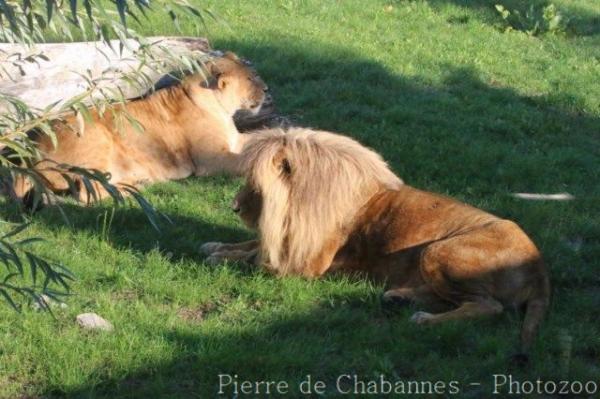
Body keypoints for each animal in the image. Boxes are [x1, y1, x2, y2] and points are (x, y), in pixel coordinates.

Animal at [8, 51, 268, 205]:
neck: (222, 109)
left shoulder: (236, 140)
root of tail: (31, 155)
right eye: (251, 79)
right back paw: (133, 189)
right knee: (85, 192)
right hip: (97, 139)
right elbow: (244, 160)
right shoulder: (211, 160)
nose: (266, 89)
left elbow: (263, 136)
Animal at [204, 129, 552, 362]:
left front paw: (219, 257)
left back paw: (423, 318)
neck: (297, 202)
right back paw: (398, 298)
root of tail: (541, 269)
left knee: (488, 306)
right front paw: (215, 245)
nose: (234, 207)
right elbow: (253, 244)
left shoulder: (306, 263)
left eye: (254, 187)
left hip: (438, 251)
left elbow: (254, 257)